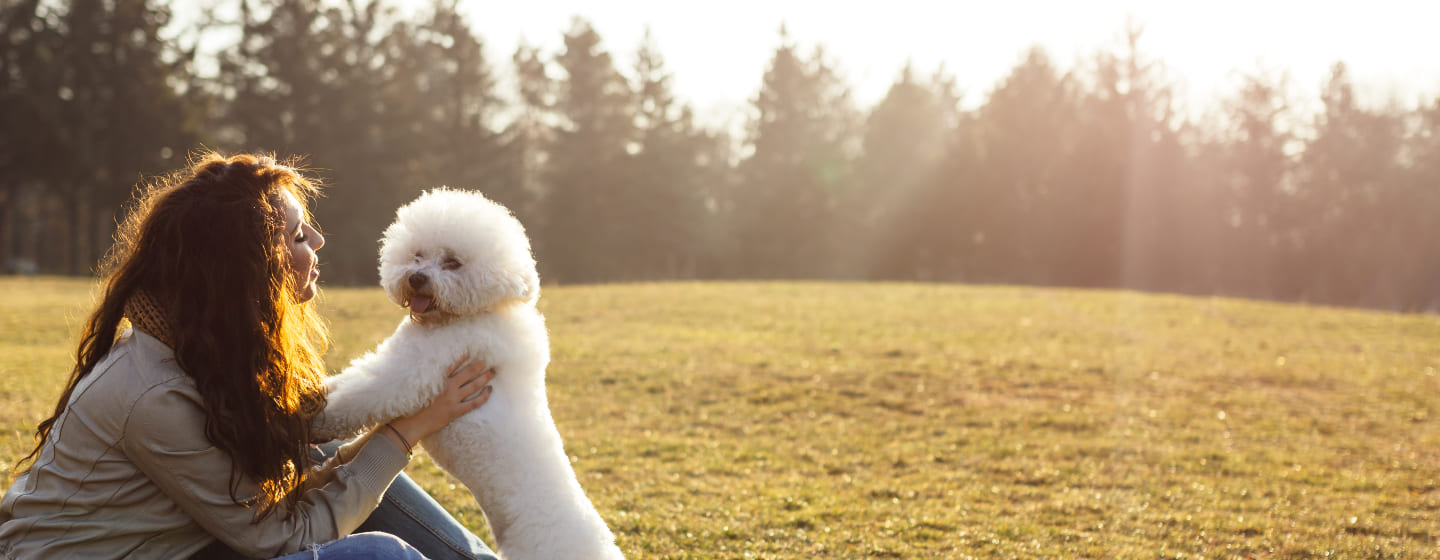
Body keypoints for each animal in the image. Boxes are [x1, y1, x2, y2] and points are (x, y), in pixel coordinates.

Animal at [315, 187, 624, 558]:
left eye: (453, 262)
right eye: (417, 255)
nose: (416, 278)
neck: (473, 313)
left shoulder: (412, 372)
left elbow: (360, 396)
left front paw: (312, 420)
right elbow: (350, 382)